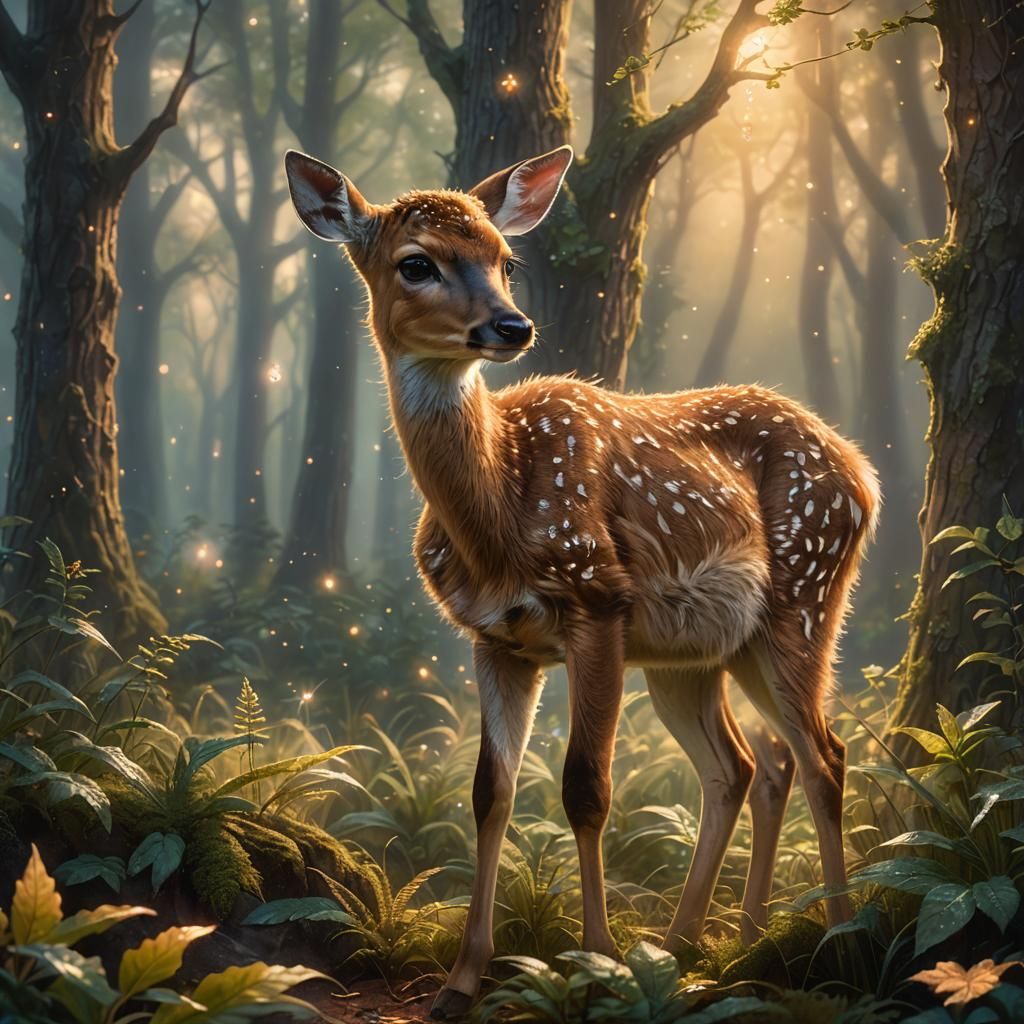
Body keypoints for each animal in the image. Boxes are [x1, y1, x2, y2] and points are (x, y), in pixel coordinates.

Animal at [284, 144, 880, 1020]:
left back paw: (832, 947)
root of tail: (864, 473)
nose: (512, 325)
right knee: (749, 764)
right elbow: (490, 792)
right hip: (701, 653)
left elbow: (586, 788)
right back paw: (706, 943)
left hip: (804, 598)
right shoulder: (498, 639)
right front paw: (461, 981)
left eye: (505, 259)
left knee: (823, 754)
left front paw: (596, 964)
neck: (498, 515)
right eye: (416, 262)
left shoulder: (599, 602)